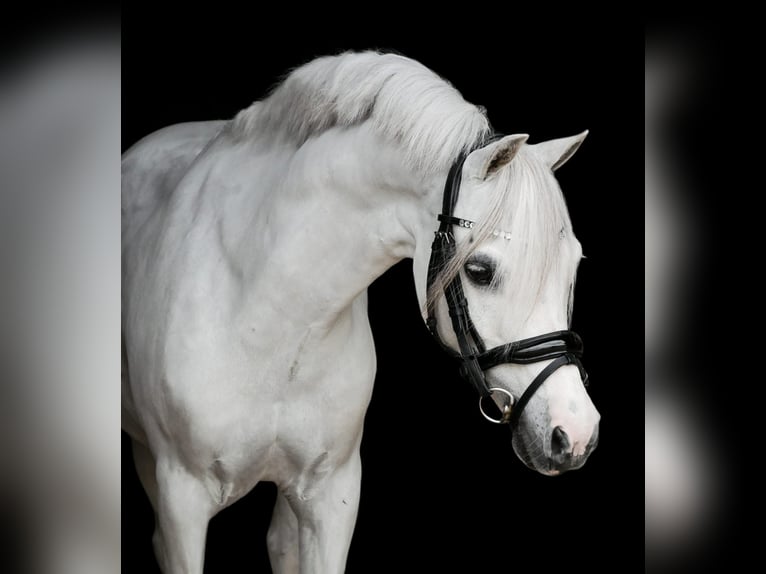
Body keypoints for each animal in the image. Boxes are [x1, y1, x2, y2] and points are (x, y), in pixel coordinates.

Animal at [122, 51, 600, 573]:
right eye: (479, 270)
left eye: (574, 265)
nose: (575, 433)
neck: (269, 319)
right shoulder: (182, 498)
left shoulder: (332, 495)